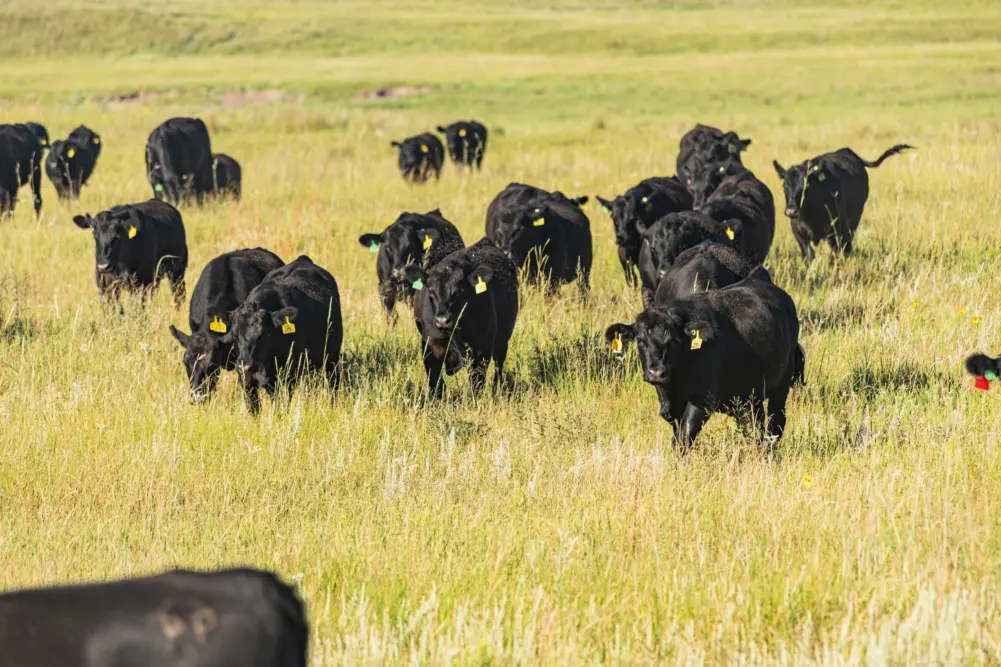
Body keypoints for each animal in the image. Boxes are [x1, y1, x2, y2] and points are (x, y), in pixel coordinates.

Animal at [220, 255, 342, 414]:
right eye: (234, 336)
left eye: (262, 336)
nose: (246, 367)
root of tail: (303, 259)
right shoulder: (246, 381)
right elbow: (254, 409)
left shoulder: (284, 379)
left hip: (332, 358)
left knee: (333, 384)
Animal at [402, 238, 519, 398]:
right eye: (430, 290)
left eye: (459, 291)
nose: (442, 320)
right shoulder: (431, 345)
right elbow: (435, 381)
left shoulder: (482, 349)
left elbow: (476, 383)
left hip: (502, 340)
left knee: (498, 367)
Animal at [605, 267, 804, 449]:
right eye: (640, 341)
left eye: (675, 341)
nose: (657, 373)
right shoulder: (673, 406)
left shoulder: (702, 400)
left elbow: (684, 438)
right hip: (752, 392)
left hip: (781, 385)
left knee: (776, 423)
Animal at [773, 144, 913, 264]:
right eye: (784, 186)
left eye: (806, 185)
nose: (791, 211)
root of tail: (847, 151)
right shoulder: (798, 232)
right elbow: (808, 255)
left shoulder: (837, 229)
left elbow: (833, 255)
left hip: (854, 219)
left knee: (847, 244)